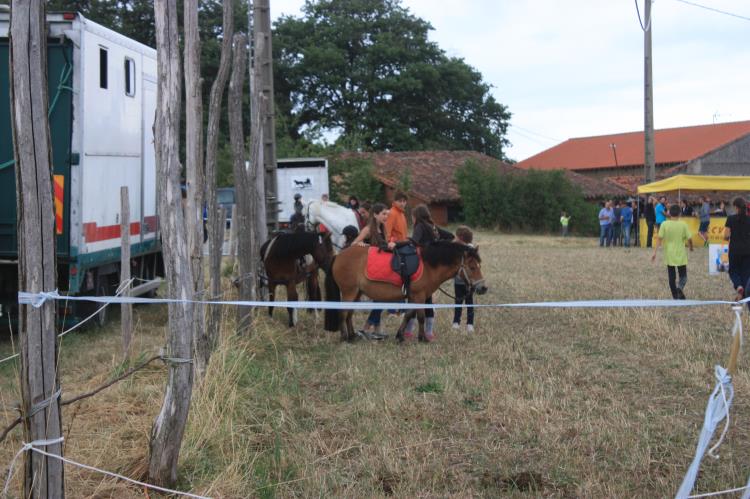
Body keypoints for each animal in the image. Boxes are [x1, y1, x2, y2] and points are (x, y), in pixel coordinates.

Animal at [326, 242, 490, 344]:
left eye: (479, 265)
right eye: (472, 267)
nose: (483, 288)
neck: (429, 265)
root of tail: (338, 255)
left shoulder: (413, 297)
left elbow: (409, 315)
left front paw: (400, 336)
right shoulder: (419, 296)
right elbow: (421, 317)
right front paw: (423, 338)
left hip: (357, 293)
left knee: (349, 314)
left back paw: (352, 335)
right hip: (349, 291)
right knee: (343, 313)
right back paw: (344, 337)